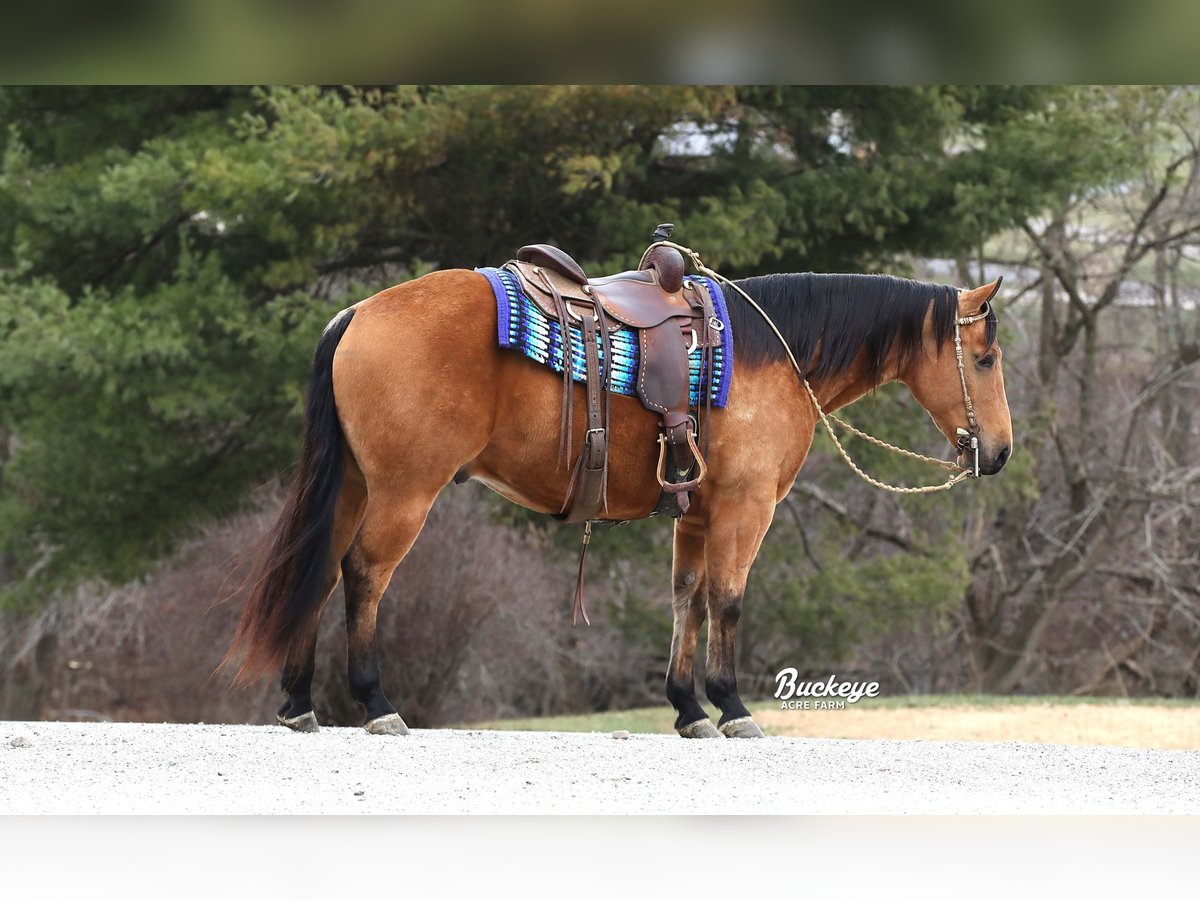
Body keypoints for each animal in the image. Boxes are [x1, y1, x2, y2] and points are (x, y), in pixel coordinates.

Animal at [220, 240, 1008, 739]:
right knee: (363, 575)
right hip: (403, 492)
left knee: (323, 571)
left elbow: (687, 599)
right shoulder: (744, 509)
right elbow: (728, 600)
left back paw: (298, 701)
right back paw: (376, 702)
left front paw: (688, 708)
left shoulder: (696, 513)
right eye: (986, 356)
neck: (773, 355)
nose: (998, 452)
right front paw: (732, 706)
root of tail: (357, 312)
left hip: (356, 485)